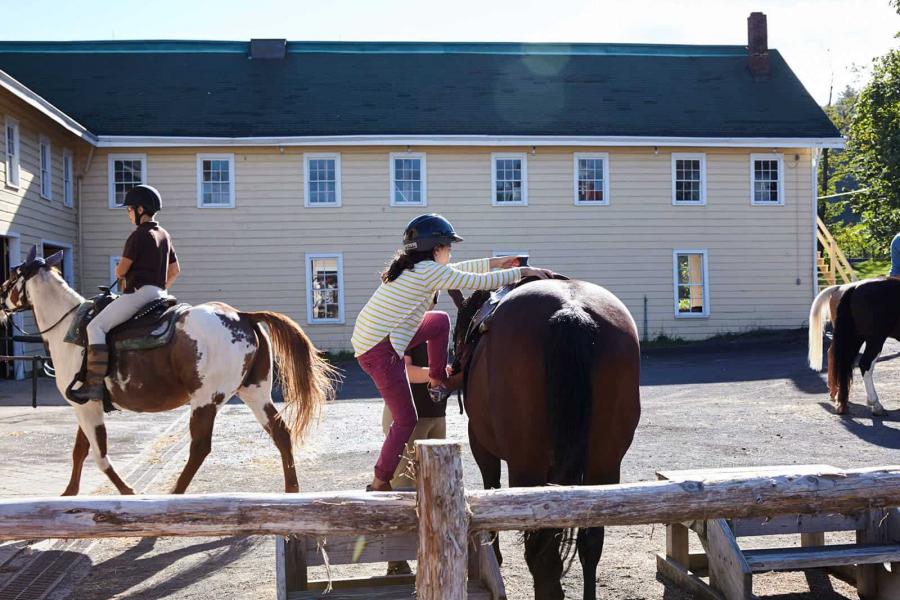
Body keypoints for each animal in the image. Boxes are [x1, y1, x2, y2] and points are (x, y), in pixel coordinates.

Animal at [0, 247, 338, 496]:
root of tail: (242, 315)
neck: (70, 329)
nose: (1, 303)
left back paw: (175, 492)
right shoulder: (86, 405)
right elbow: (81, 450)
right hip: (254, 393)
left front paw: (128, 493)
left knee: (200, 447)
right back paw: (292, 489)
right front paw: (68, 494)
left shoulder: (85, 406)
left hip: (205, 400)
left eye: (11, 277)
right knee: (280, 433)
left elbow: (99, 455)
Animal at [450, 278, 640, 600]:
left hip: (527, 466)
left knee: (542, 552)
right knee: (590, 541)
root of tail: (571, 310)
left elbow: (491, 487)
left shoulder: (480, 443)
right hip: (604, 463)